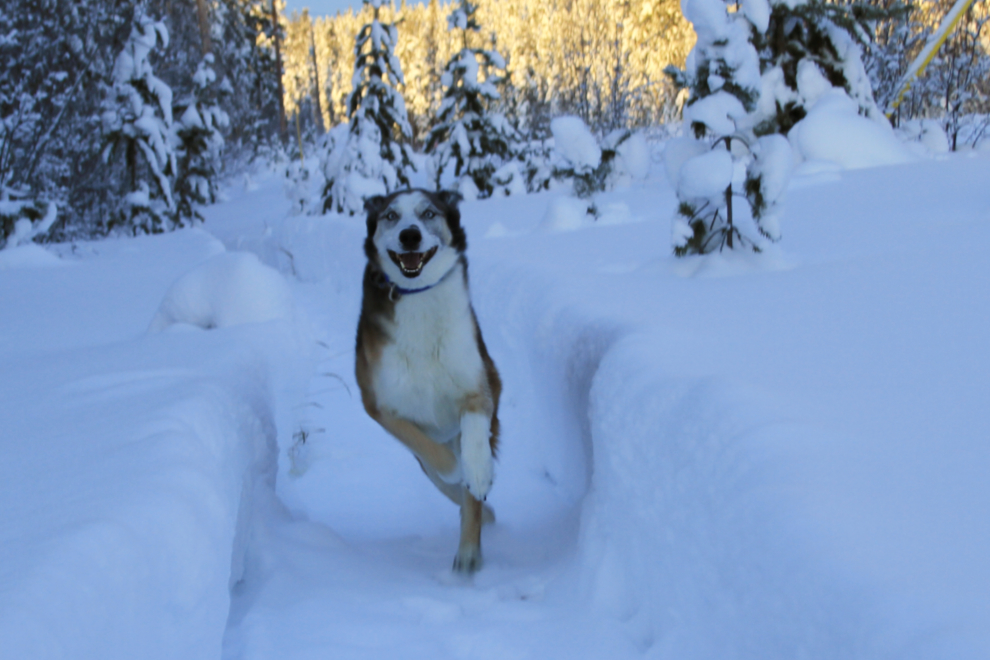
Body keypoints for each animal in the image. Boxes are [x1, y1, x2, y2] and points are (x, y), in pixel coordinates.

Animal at [354, 188, 504, 576]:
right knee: (445, 481)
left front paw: (477, 471)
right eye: (390, 215)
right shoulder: (378, 404)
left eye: (429, 213)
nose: (410, 235)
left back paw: (469, 551)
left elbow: (475, 433)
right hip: (423, 465)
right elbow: (428, 448)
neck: (417, 295)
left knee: (469, 495)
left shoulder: (478, 384)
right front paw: (458, 468)